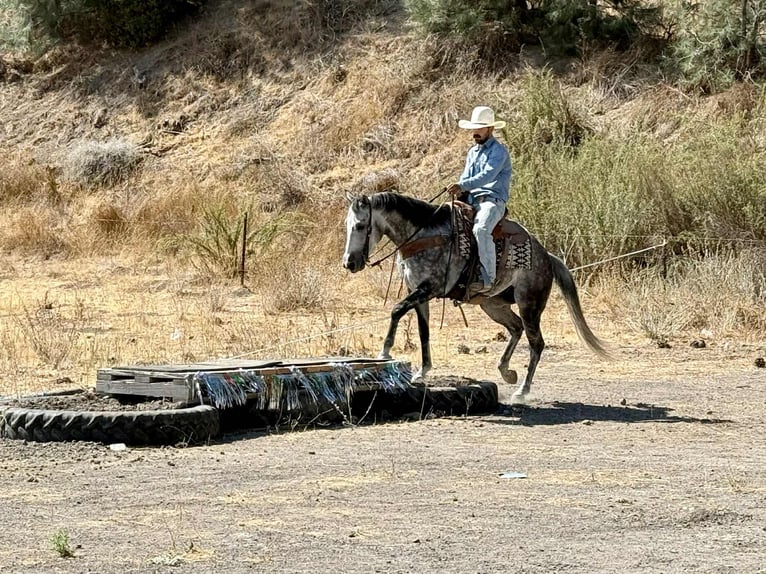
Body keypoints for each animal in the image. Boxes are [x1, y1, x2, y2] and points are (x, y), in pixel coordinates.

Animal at [342, 191, 609, 405]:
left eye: (360, 226)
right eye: (347, 225)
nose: (349, 263)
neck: (423, 236)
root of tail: (547, 257)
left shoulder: (428, 289)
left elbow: (396, 310)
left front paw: (385, 353)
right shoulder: (419, 294)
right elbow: (423, 331)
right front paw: (422, 372)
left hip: (529, 304)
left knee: (536, 343)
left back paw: (522, 391)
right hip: (493, 306)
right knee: (516, 328)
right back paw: (506, 371)